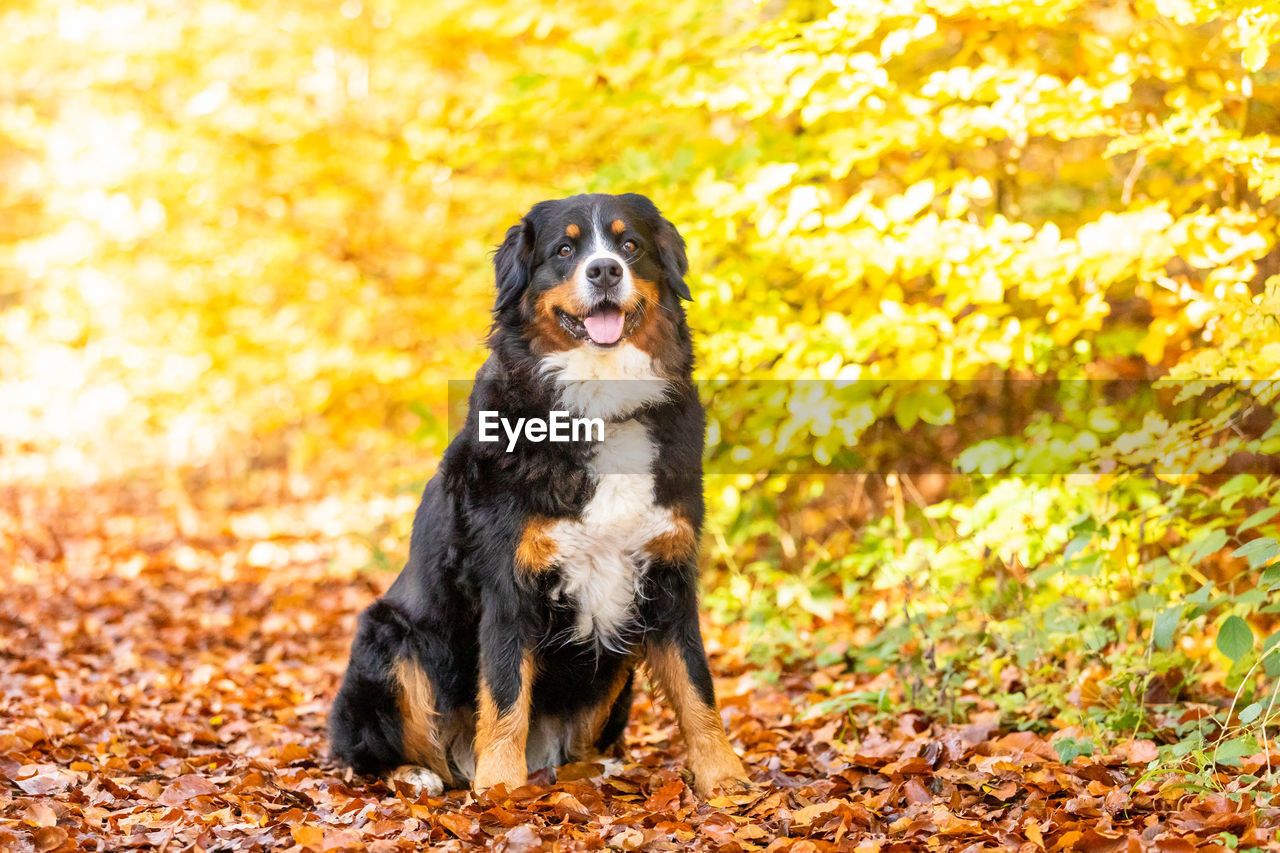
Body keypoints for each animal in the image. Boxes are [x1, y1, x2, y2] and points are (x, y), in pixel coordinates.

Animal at [327, 192, 747, 799]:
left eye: (629, 244)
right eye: (565, 250)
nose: (604, 270)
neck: (598, 409)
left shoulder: (668, 576)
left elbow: (698, 688)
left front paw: (725, 777)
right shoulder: (509, 583)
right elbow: (505, 697)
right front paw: (500, 789)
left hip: (613, 666)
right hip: (391, 640)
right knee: (370, 753)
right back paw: (419, 774)